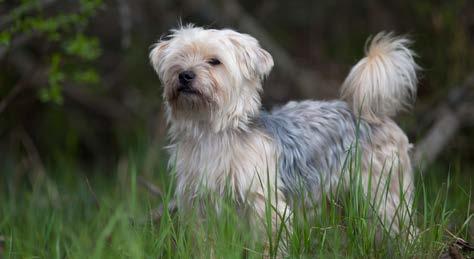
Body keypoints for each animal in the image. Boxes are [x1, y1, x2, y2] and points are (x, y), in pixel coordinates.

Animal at [149, 23, 418, 244]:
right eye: (179, 59)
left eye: (214, 61)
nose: (185, 74)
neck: (212, 132)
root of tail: (373, 114)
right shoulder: (198, 206)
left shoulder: (263, 204)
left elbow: (269, 242)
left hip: (383, 193)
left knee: (403, 227)